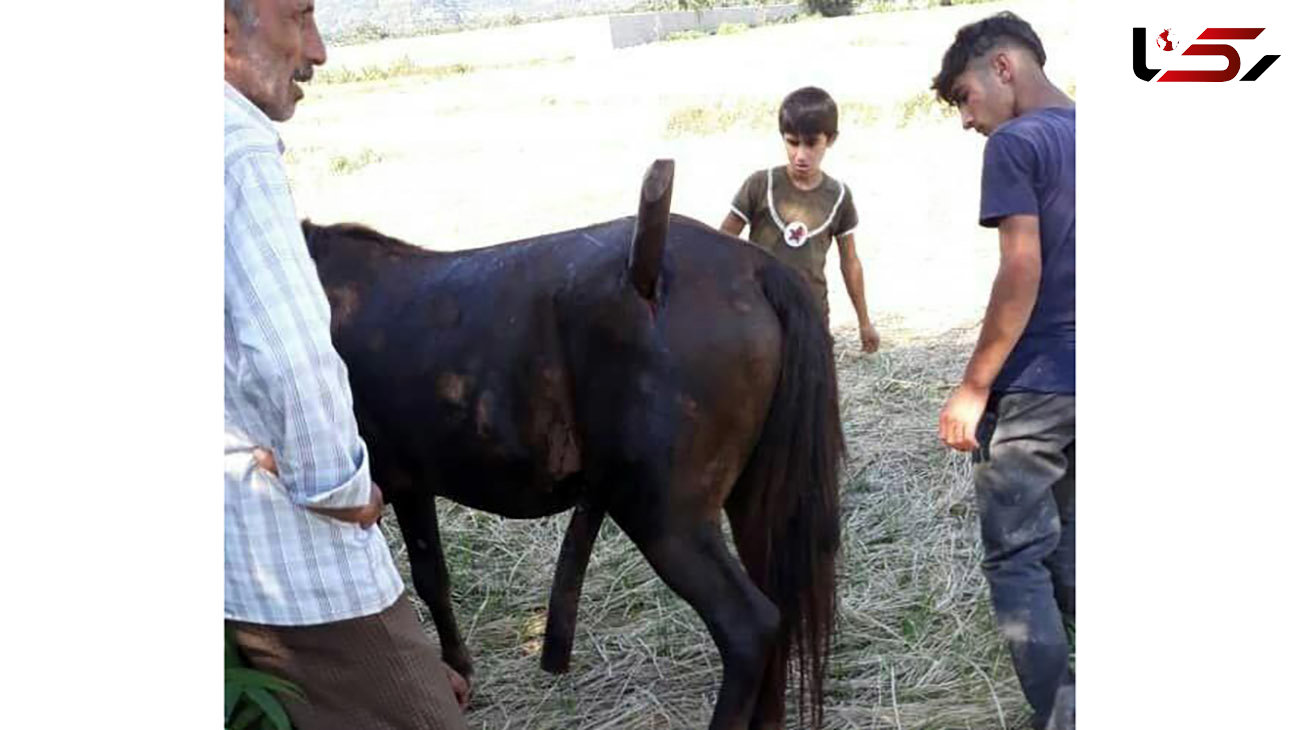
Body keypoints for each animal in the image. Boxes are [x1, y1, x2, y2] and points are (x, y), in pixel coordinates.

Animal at [302, 161, 842, 722]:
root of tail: (752, 270)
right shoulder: (410, 483)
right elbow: (432, 577)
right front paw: (459, 675)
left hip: (665, 517)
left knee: (749, 626)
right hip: (752, 500)